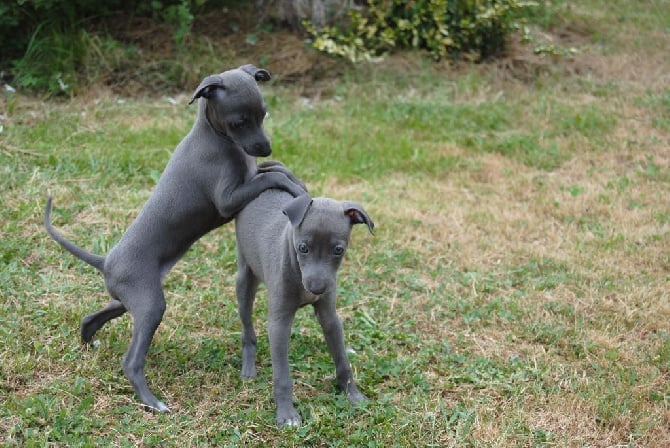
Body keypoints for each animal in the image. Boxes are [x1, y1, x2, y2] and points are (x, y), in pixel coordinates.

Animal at [46, 63, 308, 412]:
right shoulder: (227, 200)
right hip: (150, 304)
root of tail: (107, 261)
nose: (265, 146)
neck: (215, 137)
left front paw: (293, 178)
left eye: (264, 114)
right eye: (239, 122)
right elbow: (272, 176)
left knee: (93, 316)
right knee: (131, 362)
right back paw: (152, 402)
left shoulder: (251, 173)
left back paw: (91, 342)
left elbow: (273, 169)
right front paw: (293, 187)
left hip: (131, 298)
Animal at [236, 190, 376, 428]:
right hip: (245, 281)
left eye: (338, 250)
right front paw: (286, 414)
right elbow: (282, 375)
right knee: (247, 329)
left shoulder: (329, 316)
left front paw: (353, 395)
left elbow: (342, 360)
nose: (316, 288)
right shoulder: (279, 323)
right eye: (303, 248)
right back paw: (248, 368)